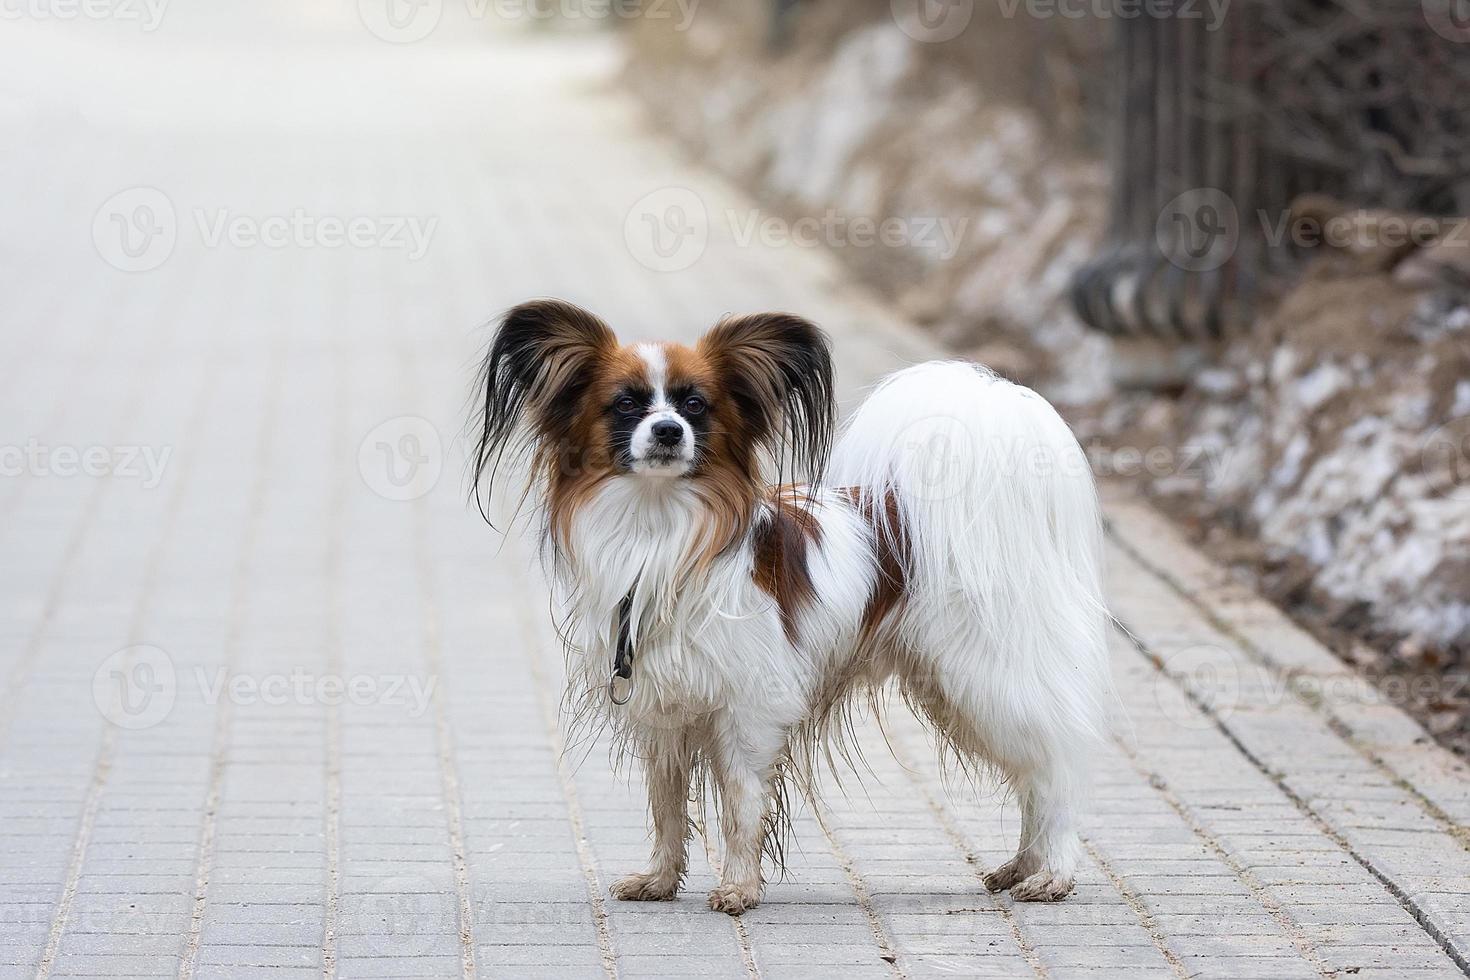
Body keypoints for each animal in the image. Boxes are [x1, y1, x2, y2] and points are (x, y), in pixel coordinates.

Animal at [476, 302, 1105, 916]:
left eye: (695, 405)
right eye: (626, 403)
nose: (669, 431)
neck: (659, 530)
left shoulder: (749, 707)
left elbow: (739, 803)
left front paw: (738, 889)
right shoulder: (663, 710)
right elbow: (667, 803)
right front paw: (659, 880)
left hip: (987, 678)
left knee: (1055, 769)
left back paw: (1053, 874)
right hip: (958, 691)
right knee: (1033, 774)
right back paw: (1021, 867)